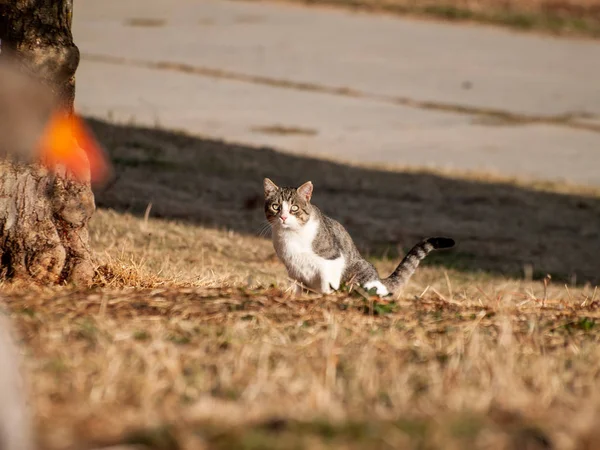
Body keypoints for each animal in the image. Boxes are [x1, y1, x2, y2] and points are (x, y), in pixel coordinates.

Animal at [262, 178, 454, 298]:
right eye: (275, 206)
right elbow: (296, 288)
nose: (283, 217)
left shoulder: (331, 261)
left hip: (358, 273)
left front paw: (325, 298)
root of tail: (378, 279)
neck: (292, 236)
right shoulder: (293, 270)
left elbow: (326, 284)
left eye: (294, 208)